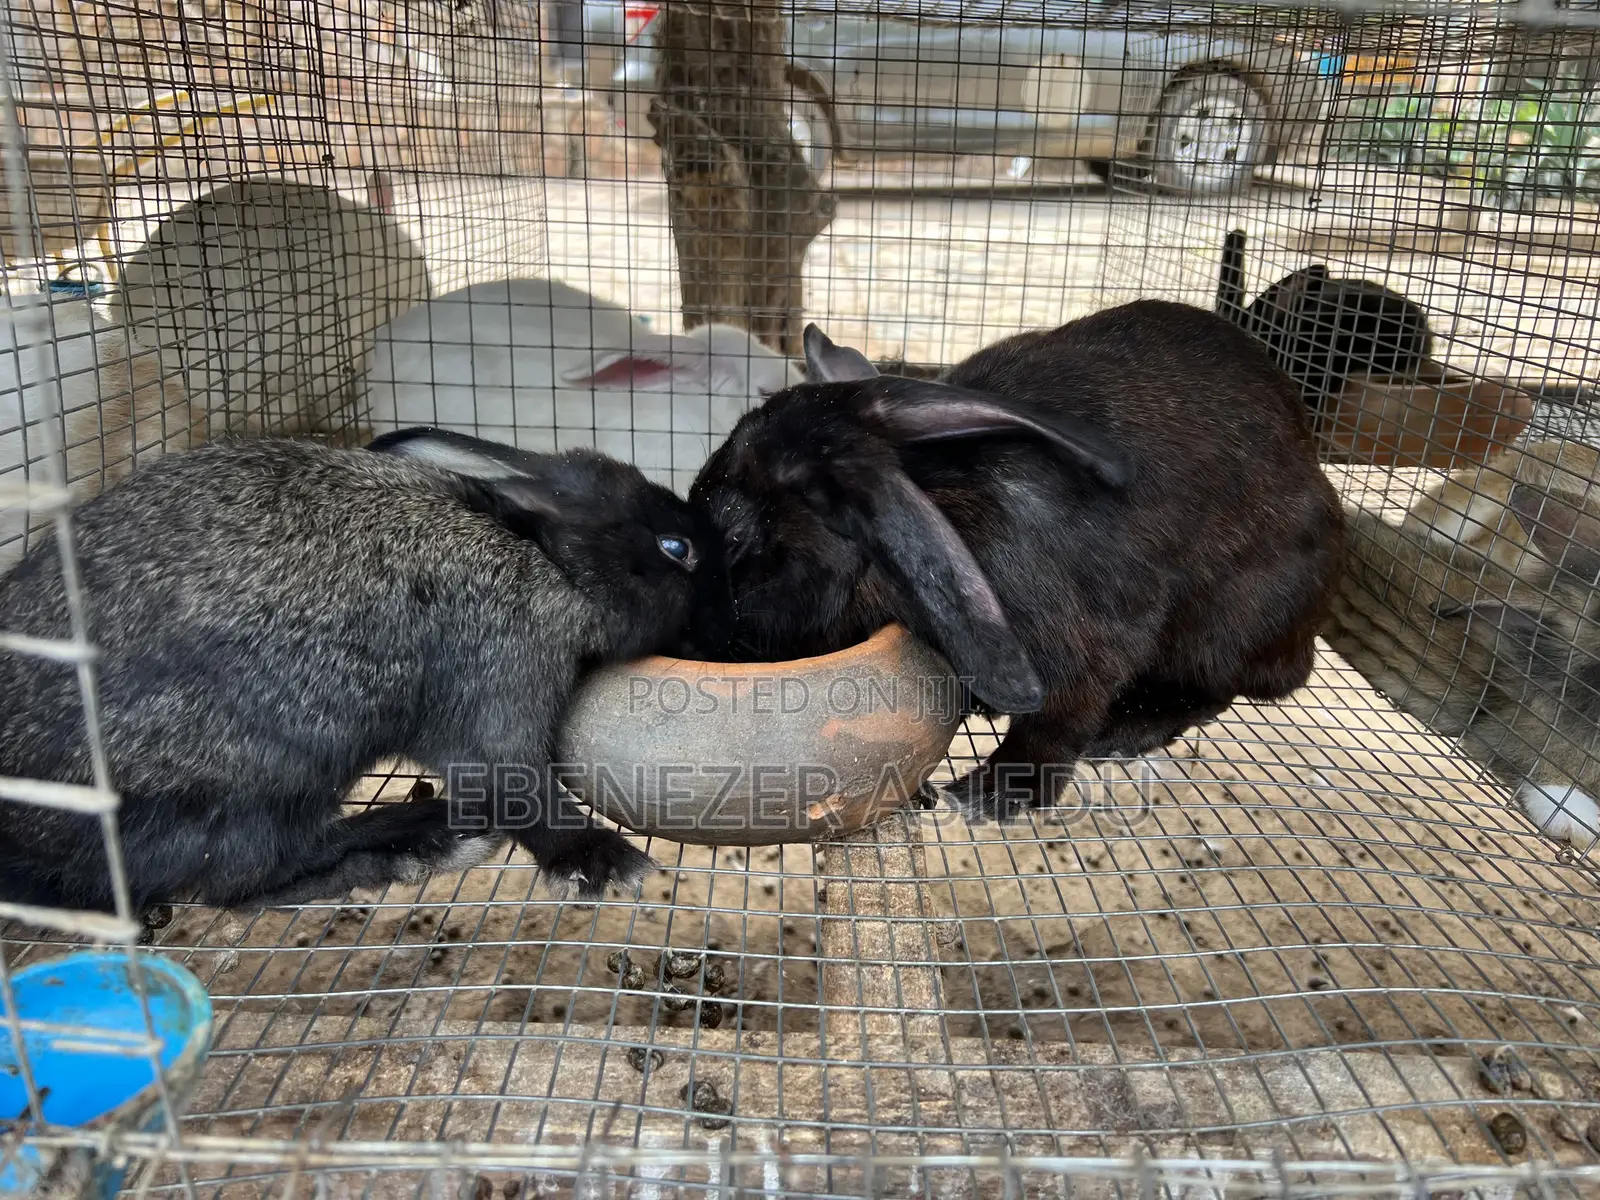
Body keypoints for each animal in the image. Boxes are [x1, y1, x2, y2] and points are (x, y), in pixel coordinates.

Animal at [0, 428, 730, 915]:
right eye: (676, 548)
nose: (717, 612)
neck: (546, 560)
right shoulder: (501, 681)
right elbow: (519, 784)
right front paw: (604, 861)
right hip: (258, 779)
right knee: (241, 881)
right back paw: (422, 841)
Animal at [688, 302, 1346, 820]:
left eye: (735, 535)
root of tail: (1307, 637)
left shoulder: (1090, 644)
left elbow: (1054, 724)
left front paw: (987, 798)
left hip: (1231, 624)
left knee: (1216, 689)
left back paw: (1127, 729)